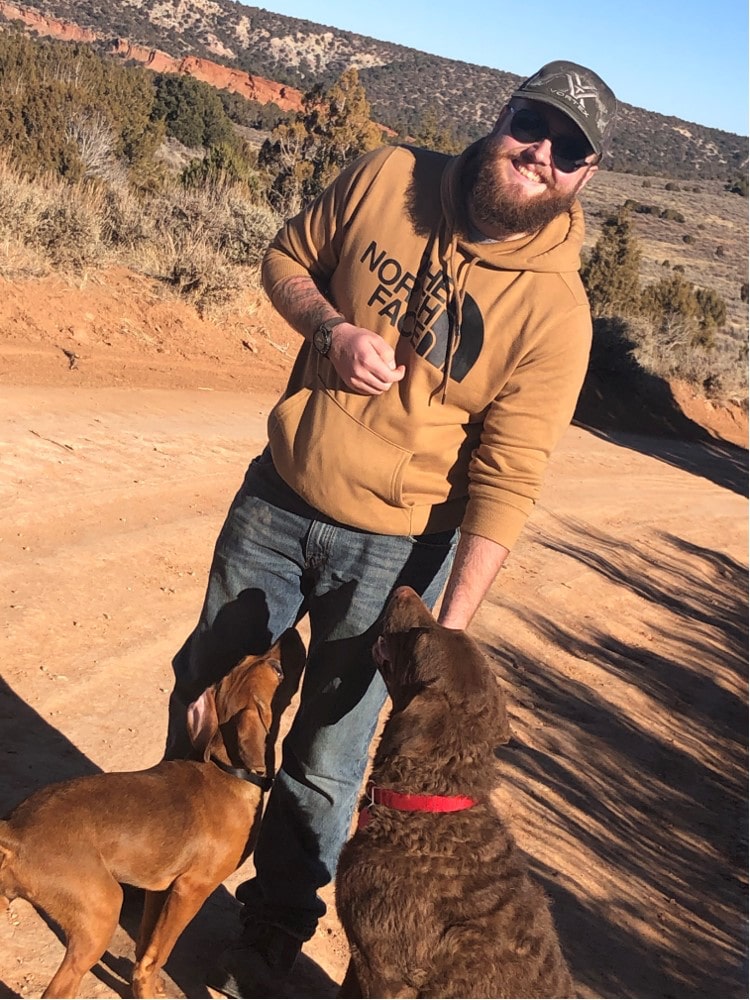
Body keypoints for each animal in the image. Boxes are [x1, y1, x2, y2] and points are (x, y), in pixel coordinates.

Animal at [0, 629, 306, 999]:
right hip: (102, 912)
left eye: (249, 657)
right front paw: (147, 987)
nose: (292, 632)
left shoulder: (160, 887)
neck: (227, 770)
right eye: (278, 669)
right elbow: (160, 952)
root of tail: (15, 830)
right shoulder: (191, 889)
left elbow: (146, 943)